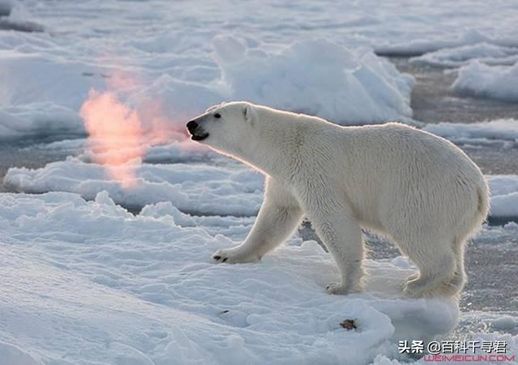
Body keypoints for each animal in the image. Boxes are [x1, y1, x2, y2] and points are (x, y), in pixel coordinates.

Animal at [188, 101, 492, 298]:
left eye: (217, 115)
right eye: (209, 109)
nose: (191, 122)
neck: (286, 145)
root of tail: (479, 187)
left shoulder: (316, 170)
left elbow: (335, 222)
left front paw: (341, 286)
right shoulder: (285, 180)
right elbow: (275, 217)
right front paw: (228, 253)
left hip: (423, 193)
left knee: (415, 230)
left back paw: (417, 282)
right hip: (454, 209)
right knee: (454, 243)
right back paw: (448, 285)